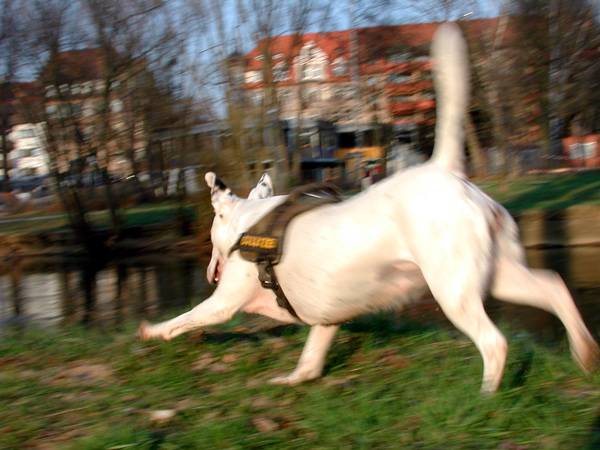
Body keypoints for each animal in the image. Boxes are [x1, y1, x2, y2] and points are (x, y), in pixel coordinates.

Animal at [139, 23, 598, 393]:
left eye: (211, 236)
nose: (210, 265)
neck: (250, 221)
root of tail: (445, 169)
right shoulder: (326, 318)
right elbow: (311, 358)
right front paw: (294, 379)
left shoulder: (224, 303)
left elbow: (186, 318)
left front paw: (152, 330)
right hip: (498, 276)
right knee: (554, 287)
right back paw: (585, 353)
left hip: (453, 289)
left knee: (495, 342)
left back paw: (486, 399)